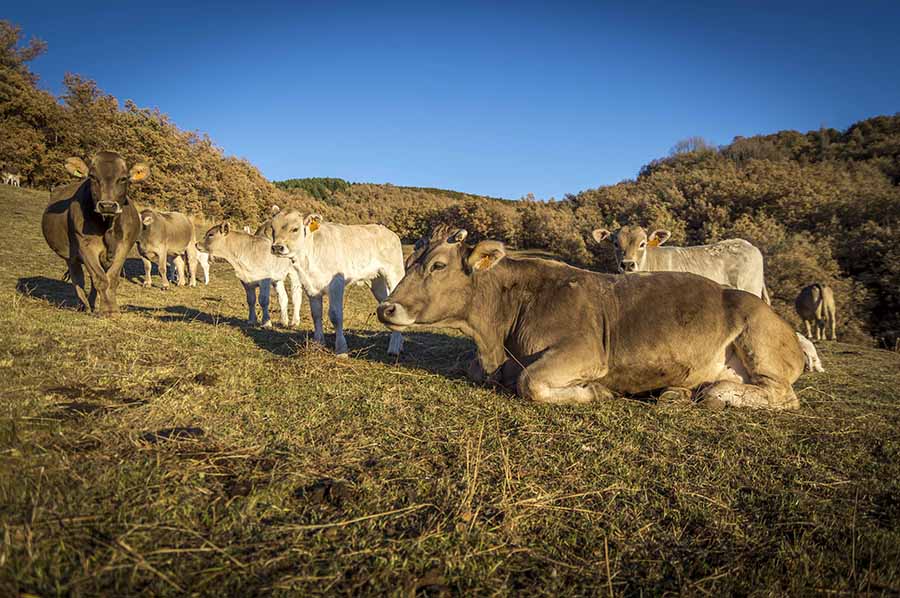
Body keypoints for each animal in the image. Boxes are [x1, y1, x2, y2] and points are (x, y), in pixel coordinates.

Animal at [41, 152, 148, 314]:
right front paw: (108, 310)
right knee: (78, 278)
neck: (108, 225)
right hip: (70, 255)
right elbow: (100, 279)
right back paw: (84, 306)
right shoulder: (85, 246)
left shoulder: (124, 246)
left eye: (123, 178)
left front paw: (112, 308)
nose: (107, 205)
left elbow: (112, 279)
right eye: (92, 176)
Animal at [269, 210, 404, 356]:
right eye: (272, 228)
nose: (277, 247)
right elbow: (316, 313)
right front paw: (318, 343)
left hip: (394, 274)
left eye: (295, 229)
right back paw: (399, 343)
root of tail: (387, 231)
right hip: (376, 281)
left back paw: (394, 348)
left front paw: (341, 350)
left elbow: (335, 315)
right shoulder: (310, 286)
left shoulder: (336, 284)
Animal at [377, 226, 804, 409]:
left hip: (756, 335)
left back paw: (712, 392)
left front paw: (596, 391)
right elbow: (471, 367)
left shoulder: (584, 352)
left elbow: (531, 383)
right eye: (409, 262)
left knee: (781, 396)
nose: (386, 308)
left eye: (437, 265)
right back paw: (675, 392)